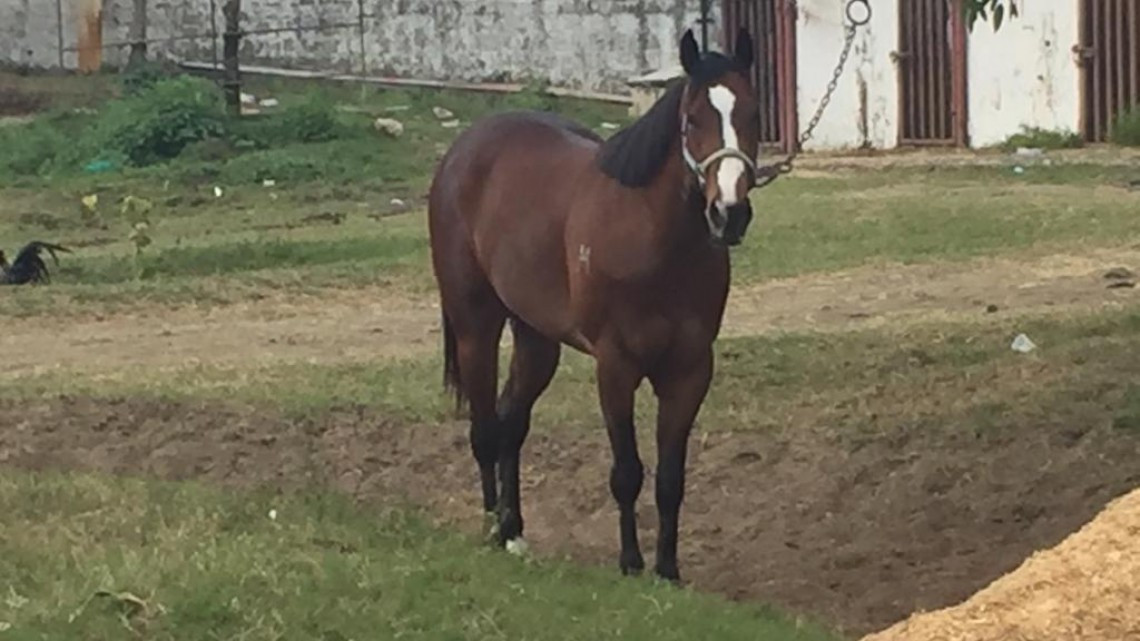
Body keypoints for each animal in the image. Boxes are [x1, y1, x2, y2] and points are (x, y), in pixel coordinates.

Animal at [427, 27, 761, 581]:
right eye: (693, 120)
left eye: (753, 114)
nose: (728, 213)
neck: (651, 236)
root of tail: (463, 149)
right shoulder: (616, 365)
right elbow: (626, 471)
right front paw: (630, 564)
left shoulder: (690, 369)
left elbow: (671, 478)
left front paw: (667, 571)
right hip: (477, 326)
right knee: (485, 429)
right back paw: (493, 529)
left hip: (537, 339)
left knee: (511, 422)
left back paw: (514, 531)